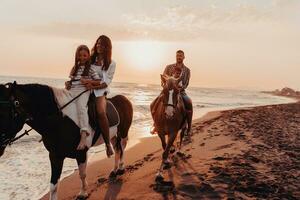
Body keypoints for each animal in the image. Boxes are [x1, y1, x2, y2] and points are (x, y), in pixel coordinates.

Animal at [0, 81, 132, 200]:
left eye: (3, 113)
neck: (60, 121)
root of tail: (125, 99)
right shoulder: (55, 156)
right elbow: (53, 185)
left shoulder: (81, 153)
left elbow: (82, 174)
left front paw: (83, 193)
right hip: (112, 135)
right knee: (117, 148)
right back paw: (114, 170)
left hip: (123, 131)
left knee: (122, 146)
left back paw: (121, 168)